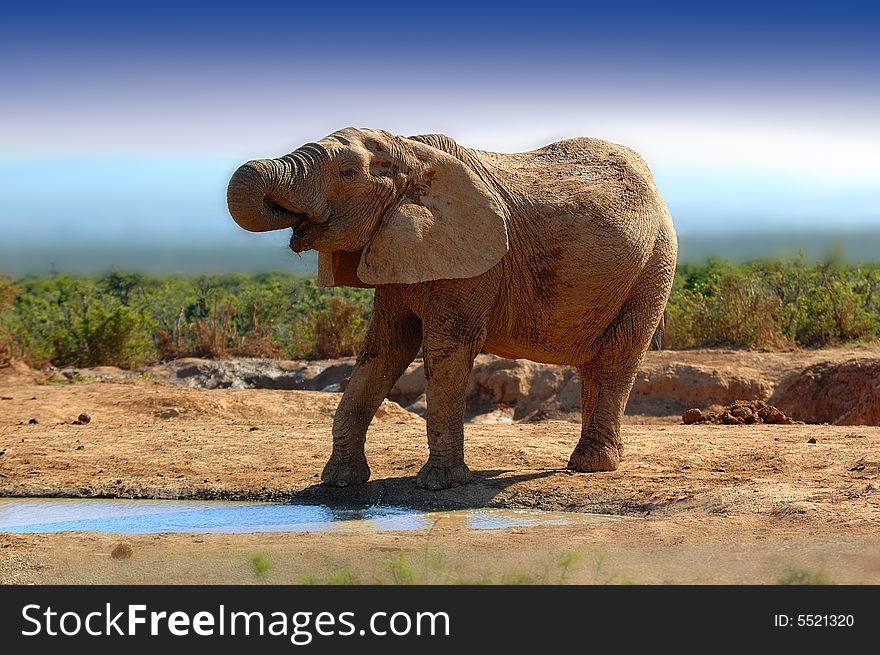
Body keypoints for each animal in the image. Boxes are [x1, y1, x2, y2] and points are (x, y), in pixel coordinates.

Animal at [225, 128, 672, 490]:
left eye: (348, 173)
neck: (411, 154)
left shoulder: (479, 261)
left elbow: (446, 348)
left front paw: (439, 485)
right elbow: (383, 349)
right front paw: (339, 483)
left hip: (654, 265)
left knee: (618, 356)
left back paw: (591, 465)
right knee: (596, 363)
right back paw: (595, 459)